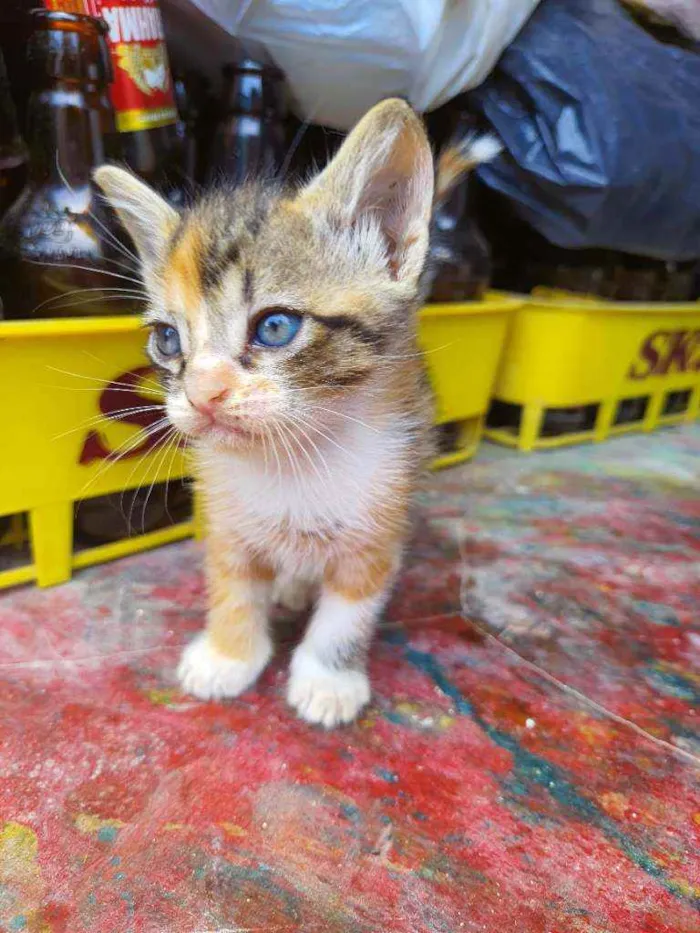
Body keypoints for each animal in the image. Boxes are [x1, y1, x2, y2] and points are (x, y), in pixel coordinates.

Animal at [94, 98, 498, 724]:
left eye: (276, 327)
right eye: (167, 339)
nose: (202, 393)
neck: (293, 459)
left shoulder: (377, 526)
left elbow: (347, 613)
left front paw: (327, 680)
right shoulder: (226, 521)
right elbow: (232, 589)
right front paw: (228, 656)